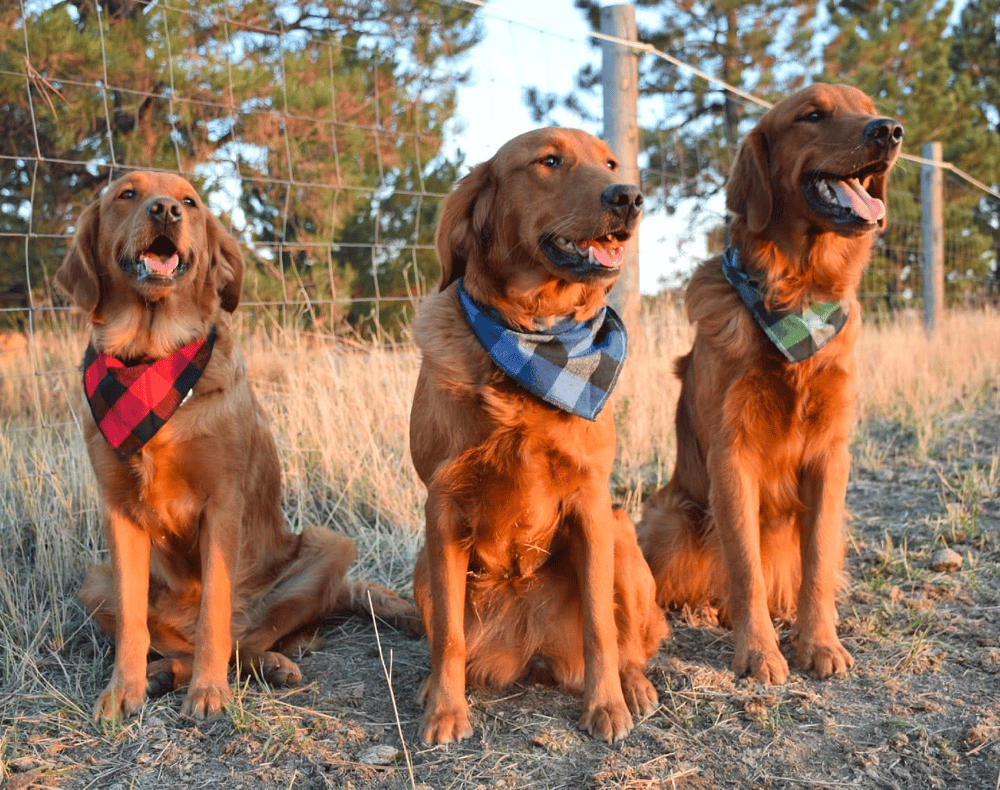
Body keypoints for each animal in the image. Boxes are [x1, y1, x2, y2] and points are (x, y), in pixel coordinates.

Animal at [402, 127, 668, 744]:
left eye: (610, 164)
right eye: (549, 161)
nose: (630, 197)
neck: (535, 340)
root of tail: (531, 652)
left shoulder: (591, 500)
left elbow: (600, 625)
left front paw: (605, 706)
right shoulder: (442, 505)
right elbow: (447, 634)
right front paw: (445, 711)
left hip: (621, 531)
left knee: (629, 643)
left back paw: (633, 686)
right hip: (424, 564)